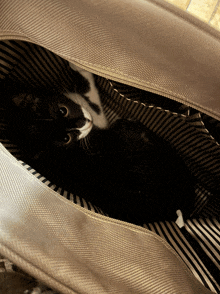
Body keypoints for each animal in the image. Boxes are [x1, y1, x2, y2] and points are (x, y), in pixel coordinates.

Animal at [3, 63, 194, 225]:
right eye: (66, 139)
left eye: (63, 110)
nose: (84, 122)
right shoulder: (100, 124)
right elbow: (92, 98)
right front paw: (82, 68)